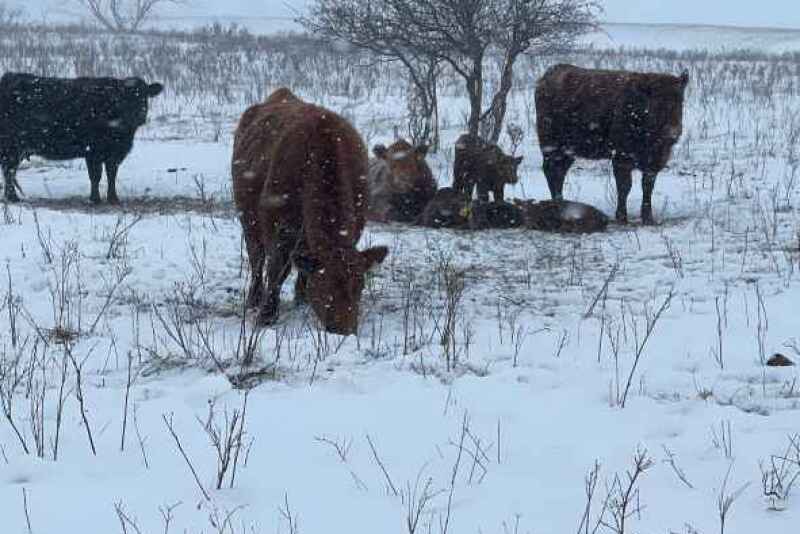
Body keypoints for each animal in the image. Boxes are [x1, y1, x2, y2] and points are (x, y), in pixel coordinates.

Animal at [0, 72, 163, 203]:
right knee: (9, 170)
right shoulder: (93, 151)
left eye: (144, 96)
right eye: (122, 98)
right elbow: (96, 176)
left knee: (10, 171)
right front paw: (95, 199)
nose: (139, 115)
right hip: (11, 146)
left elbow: (111, 174)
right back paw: (13, 198)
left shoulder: (115, 153)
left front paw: (113, 198)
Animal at [232, 87, 388, 335]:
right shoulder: (277, 231)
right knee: (256, 258)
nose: (345, 331)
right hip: (247, 220)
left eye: (360, 286)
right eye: (326, 288)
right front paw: (267, 315)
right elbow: (277, 270)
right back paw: (254, 300)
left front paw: (302, 298)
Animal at [535, 64, 688, 224]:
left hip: (568, 151)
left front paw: (648, 218)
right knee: (551, 171)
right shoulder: (622, 158)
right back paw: (557, 204)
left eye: (681, 101)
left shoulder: (653, 163)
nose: (673, 132)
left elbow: (647, 187)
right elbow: (624, 187)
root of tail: (545, 78)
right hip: (551, 146)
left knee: (559, 172)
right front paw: (622, 217)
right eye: (657, 103)